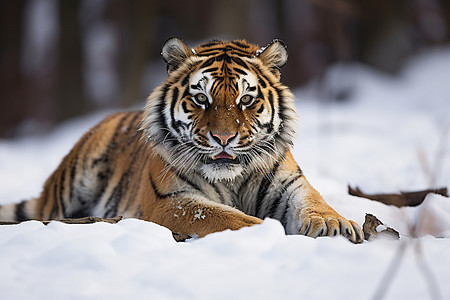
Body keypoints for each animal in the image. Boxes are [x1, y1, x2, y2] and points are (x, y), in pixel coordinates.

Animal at [0, 37, 362, 244]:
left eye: (246, 100)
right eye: (201, 98)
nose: (223, 137)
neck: (232, 180)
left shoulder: (290, 184)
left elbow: (314, 202)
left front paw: (333, 225)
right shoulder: (171, 201)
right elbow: (226, 217)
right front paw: (264, 231)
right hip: (70, 186)